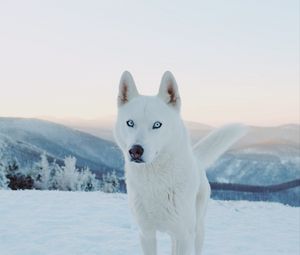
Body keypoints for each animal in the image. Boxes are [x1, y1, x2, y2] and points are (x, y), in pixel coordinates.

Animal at [113, 70, 247, 255]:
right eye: (130, 123)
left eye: (157, 125)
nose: (135, 151)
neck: (154, 182)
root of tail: (197, 159)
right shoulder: (146, 234)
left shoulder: (184, 235)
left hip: (196, 230)